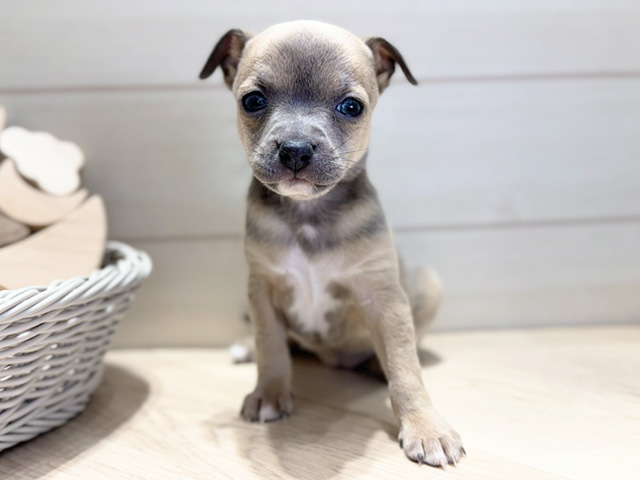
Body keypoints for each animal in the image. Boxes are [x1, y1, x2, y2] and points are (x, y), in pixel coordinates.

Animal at [199, 21, 464, 467]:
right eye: (253, 101)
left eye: (351, 107)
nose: (295, 150)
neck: (308, 215)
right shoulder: (263, 290)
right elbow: (272, 345)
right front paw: (269, 393)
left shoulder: (383, 297)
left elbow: (406, 370)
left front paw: (426, 428)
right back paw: (245, 347)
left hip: (429, 284)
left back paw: (374, 366)